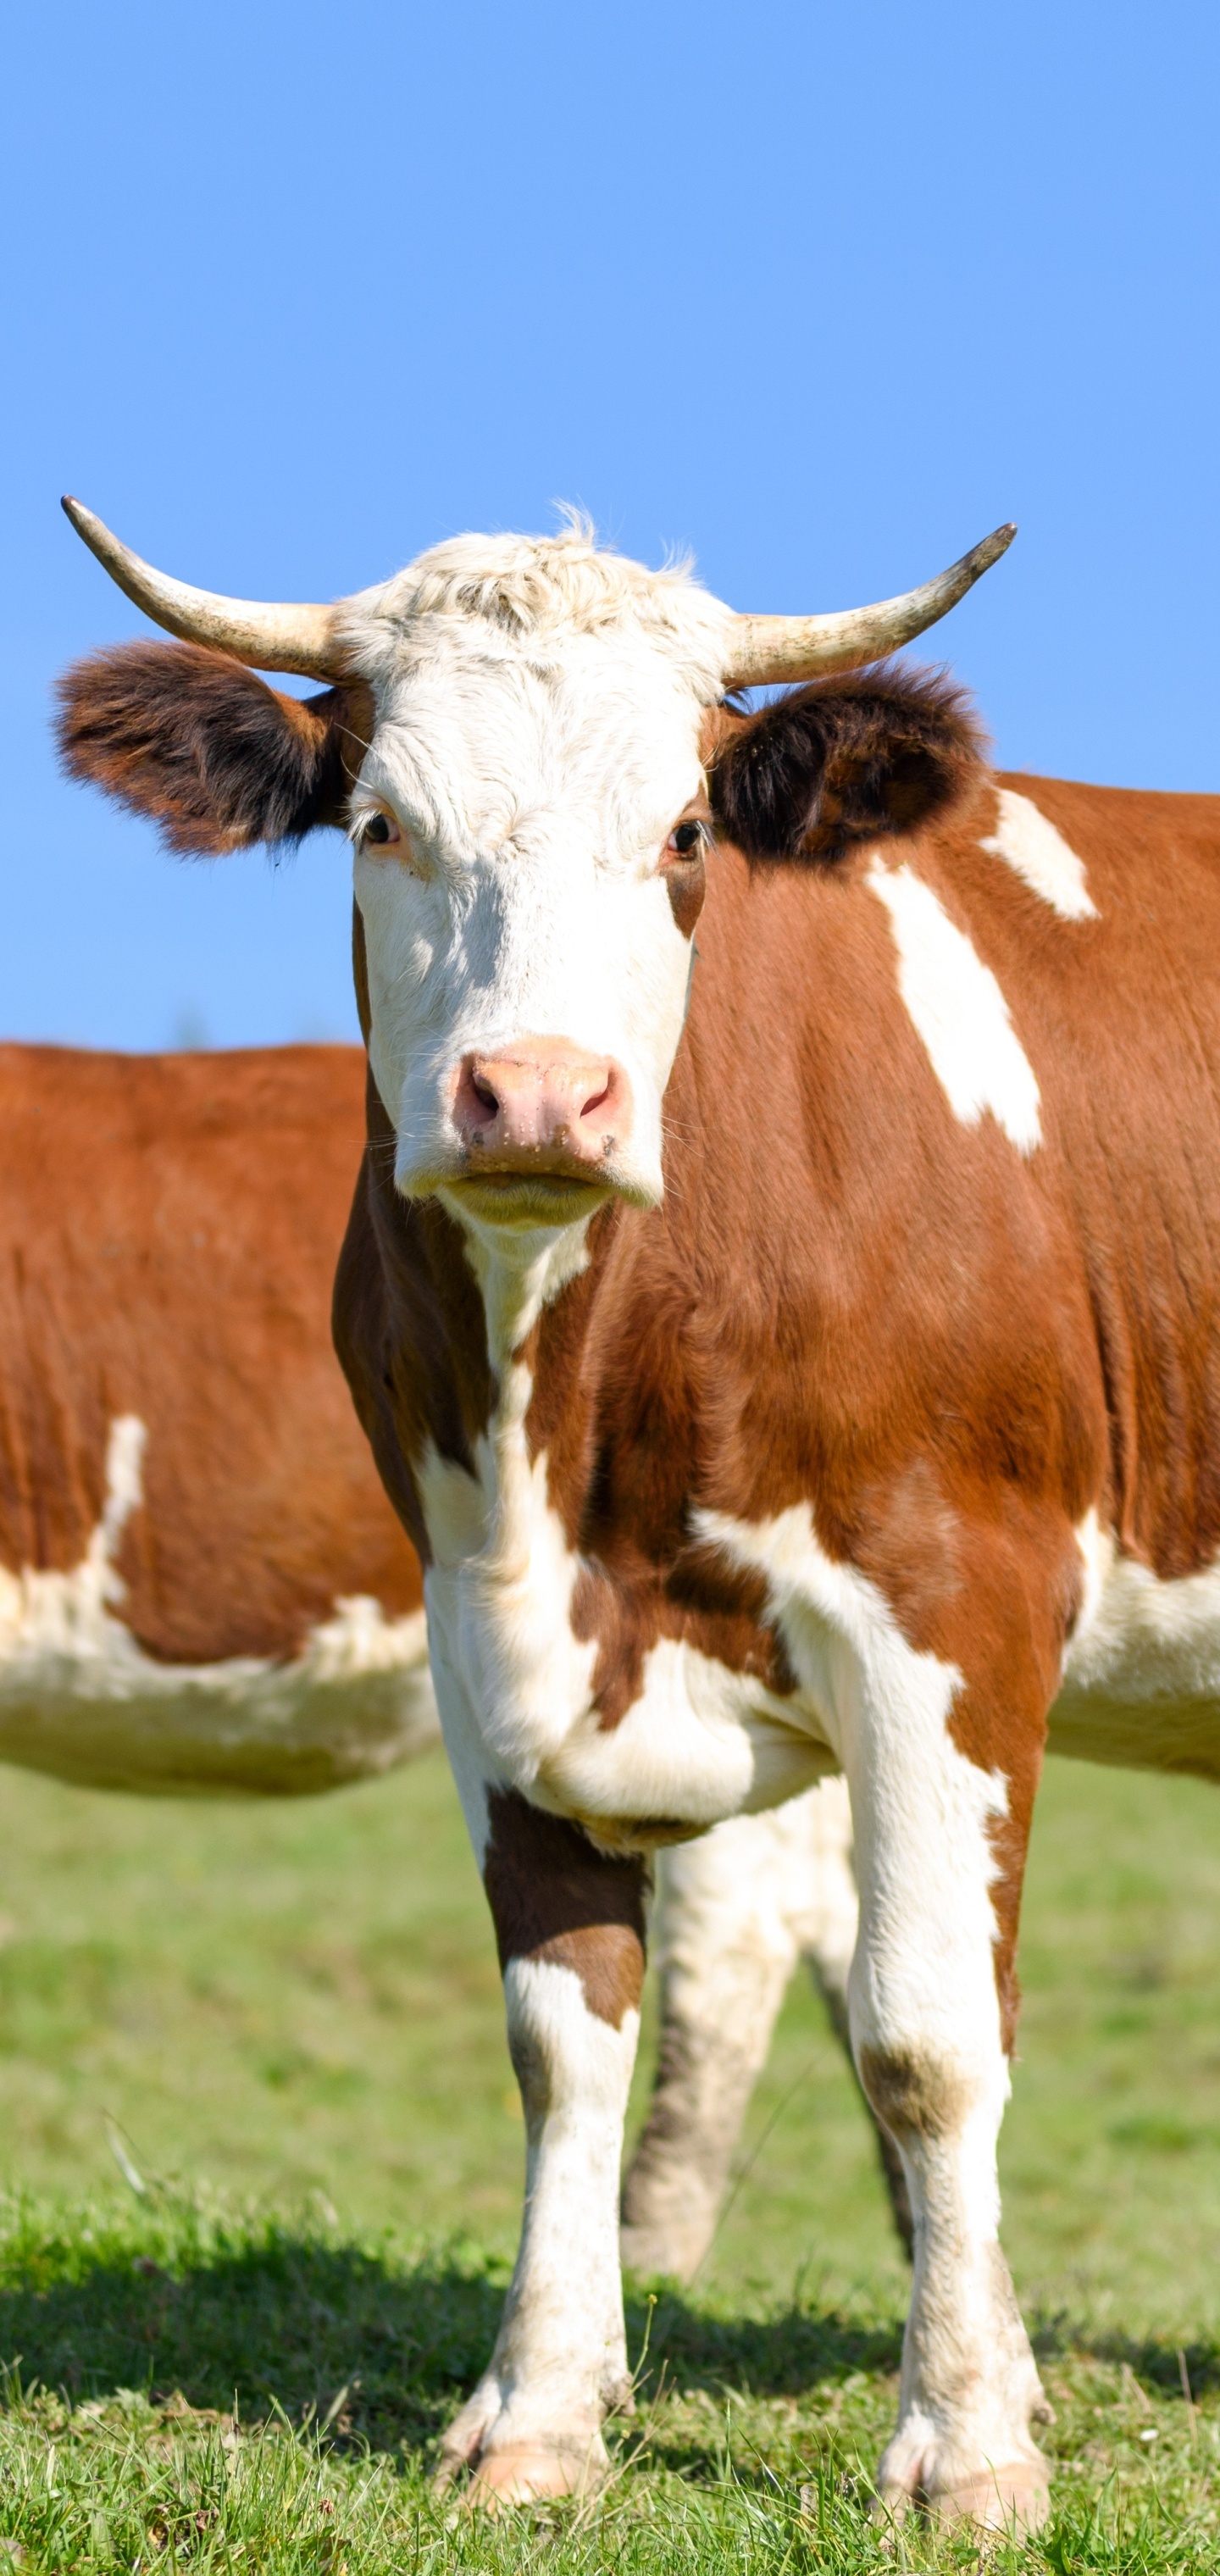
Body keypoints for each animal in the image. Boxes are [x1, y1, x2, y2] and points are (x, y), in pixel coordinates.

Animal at [54, 486, 1209, 2534]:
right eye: (381, 821)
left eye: (682, 833)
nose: (537, 1094)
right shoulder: (477, 1617)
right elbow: (564, 2028)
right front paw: (540, 2413)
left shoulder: (955, 1601)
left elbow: (927, 2032)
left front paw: (969, 2444)